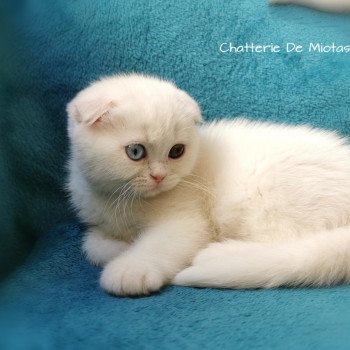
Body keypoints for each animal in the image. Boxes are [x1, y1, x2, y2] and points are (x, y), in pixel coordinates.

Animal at [67, 74, 350, 296]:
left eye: (176, 151)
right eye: (136, 152)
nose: (159, 176)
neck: (120, 201)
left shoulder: (185, 220)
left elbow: (161, 244)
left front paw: (130, 269)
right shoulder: (96, 218)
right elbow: (92, 244)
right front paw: (121, 247)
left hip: (268, 196)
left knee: (287, 246)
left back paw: (220, 254)